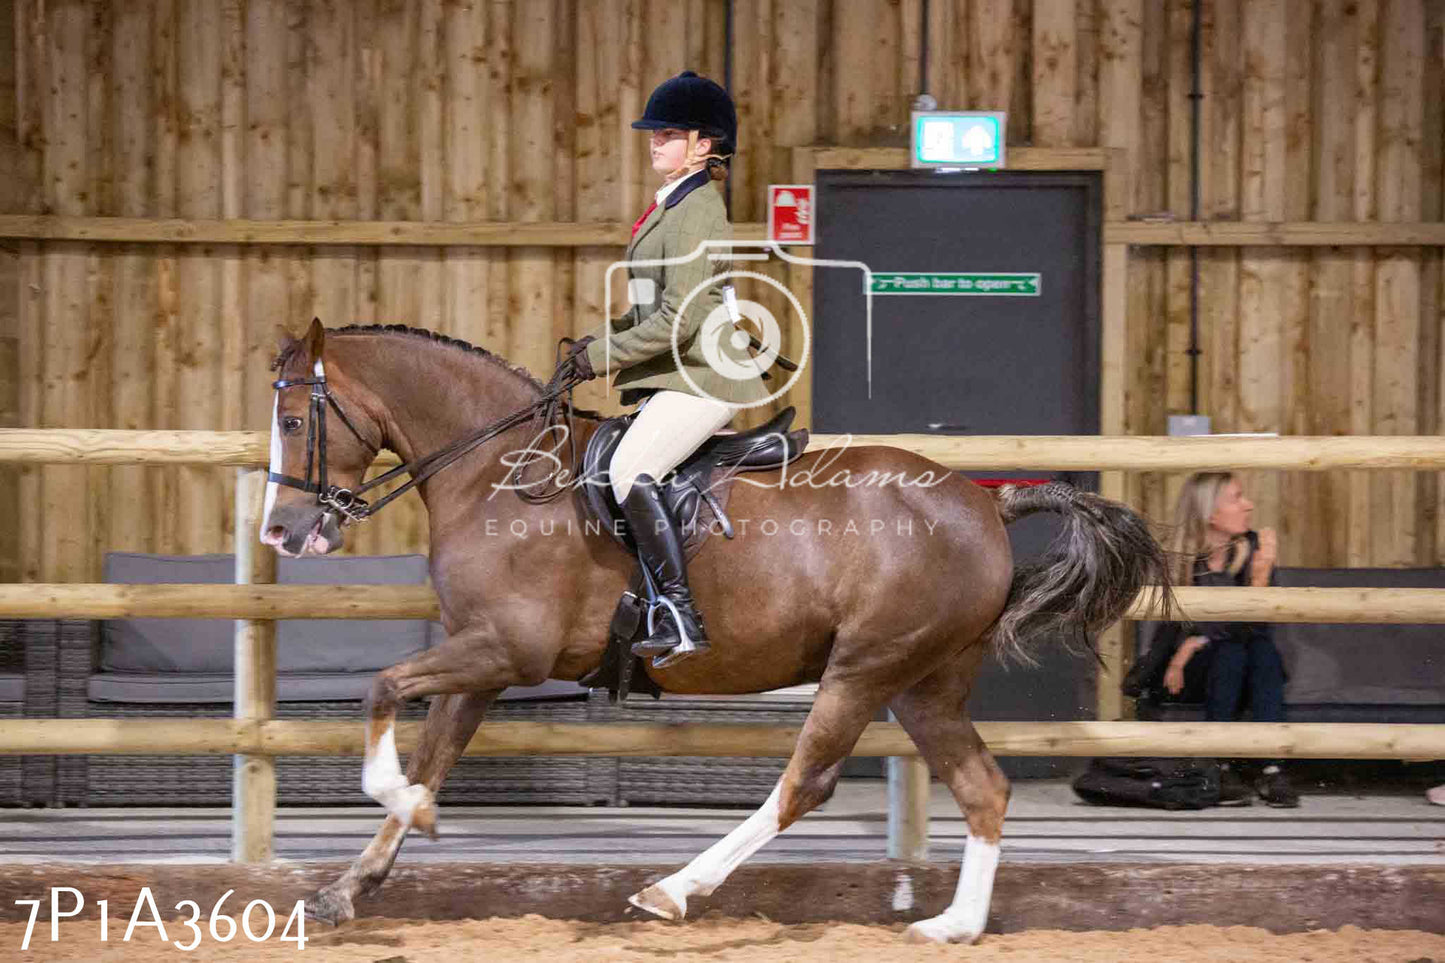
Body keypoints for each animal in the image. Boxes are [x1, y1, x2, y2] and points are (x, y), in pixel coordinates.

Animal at [262, 318, 1173, 942]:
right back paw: (952, 925)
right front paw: (356, 877)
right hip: (924, 682)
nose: (282, 531)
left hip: (865, 668)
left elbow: (383, 692)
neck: (497, 472)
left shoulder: (504, 650)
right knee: (983, 786)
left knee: (804, 783)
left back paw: (673, 889)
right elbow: (430, 753)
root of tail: (984, 502)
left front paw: (401, 808)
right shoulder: (478, 661)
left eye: (297, 422)